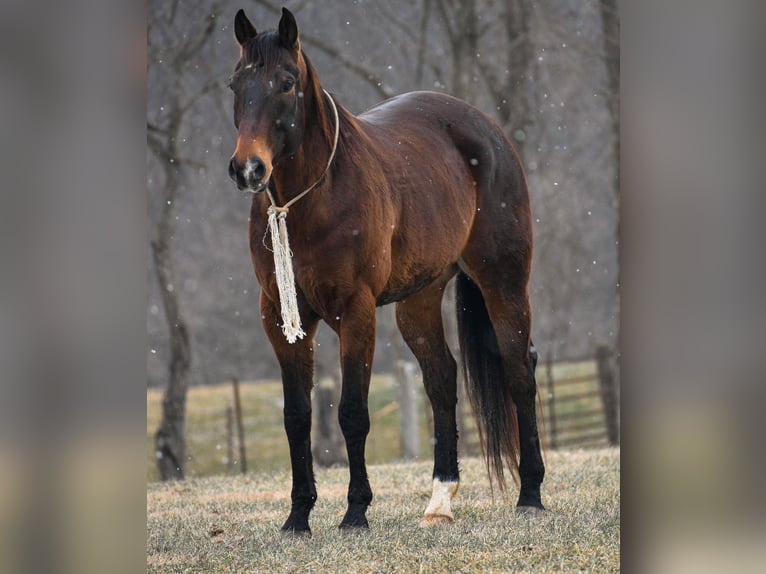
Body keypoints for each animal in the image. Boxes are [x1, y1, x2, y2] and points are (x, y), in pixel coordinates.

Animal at [226, 6, 544, 536]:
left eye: (286, 83)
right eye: (235, 83)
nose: (248, 169)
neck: (312, 199)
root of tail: (487, 128)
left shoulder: (356, 313)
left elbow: (353, 413)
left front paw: (355, 512)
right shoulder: (281, 318)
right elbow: (297, 416)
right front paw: (298, 516)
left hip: (503, 283)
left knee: (520, 370)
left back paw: (532, 495)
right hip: (418, 303)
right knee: (441, 379)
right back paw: (440, 499)